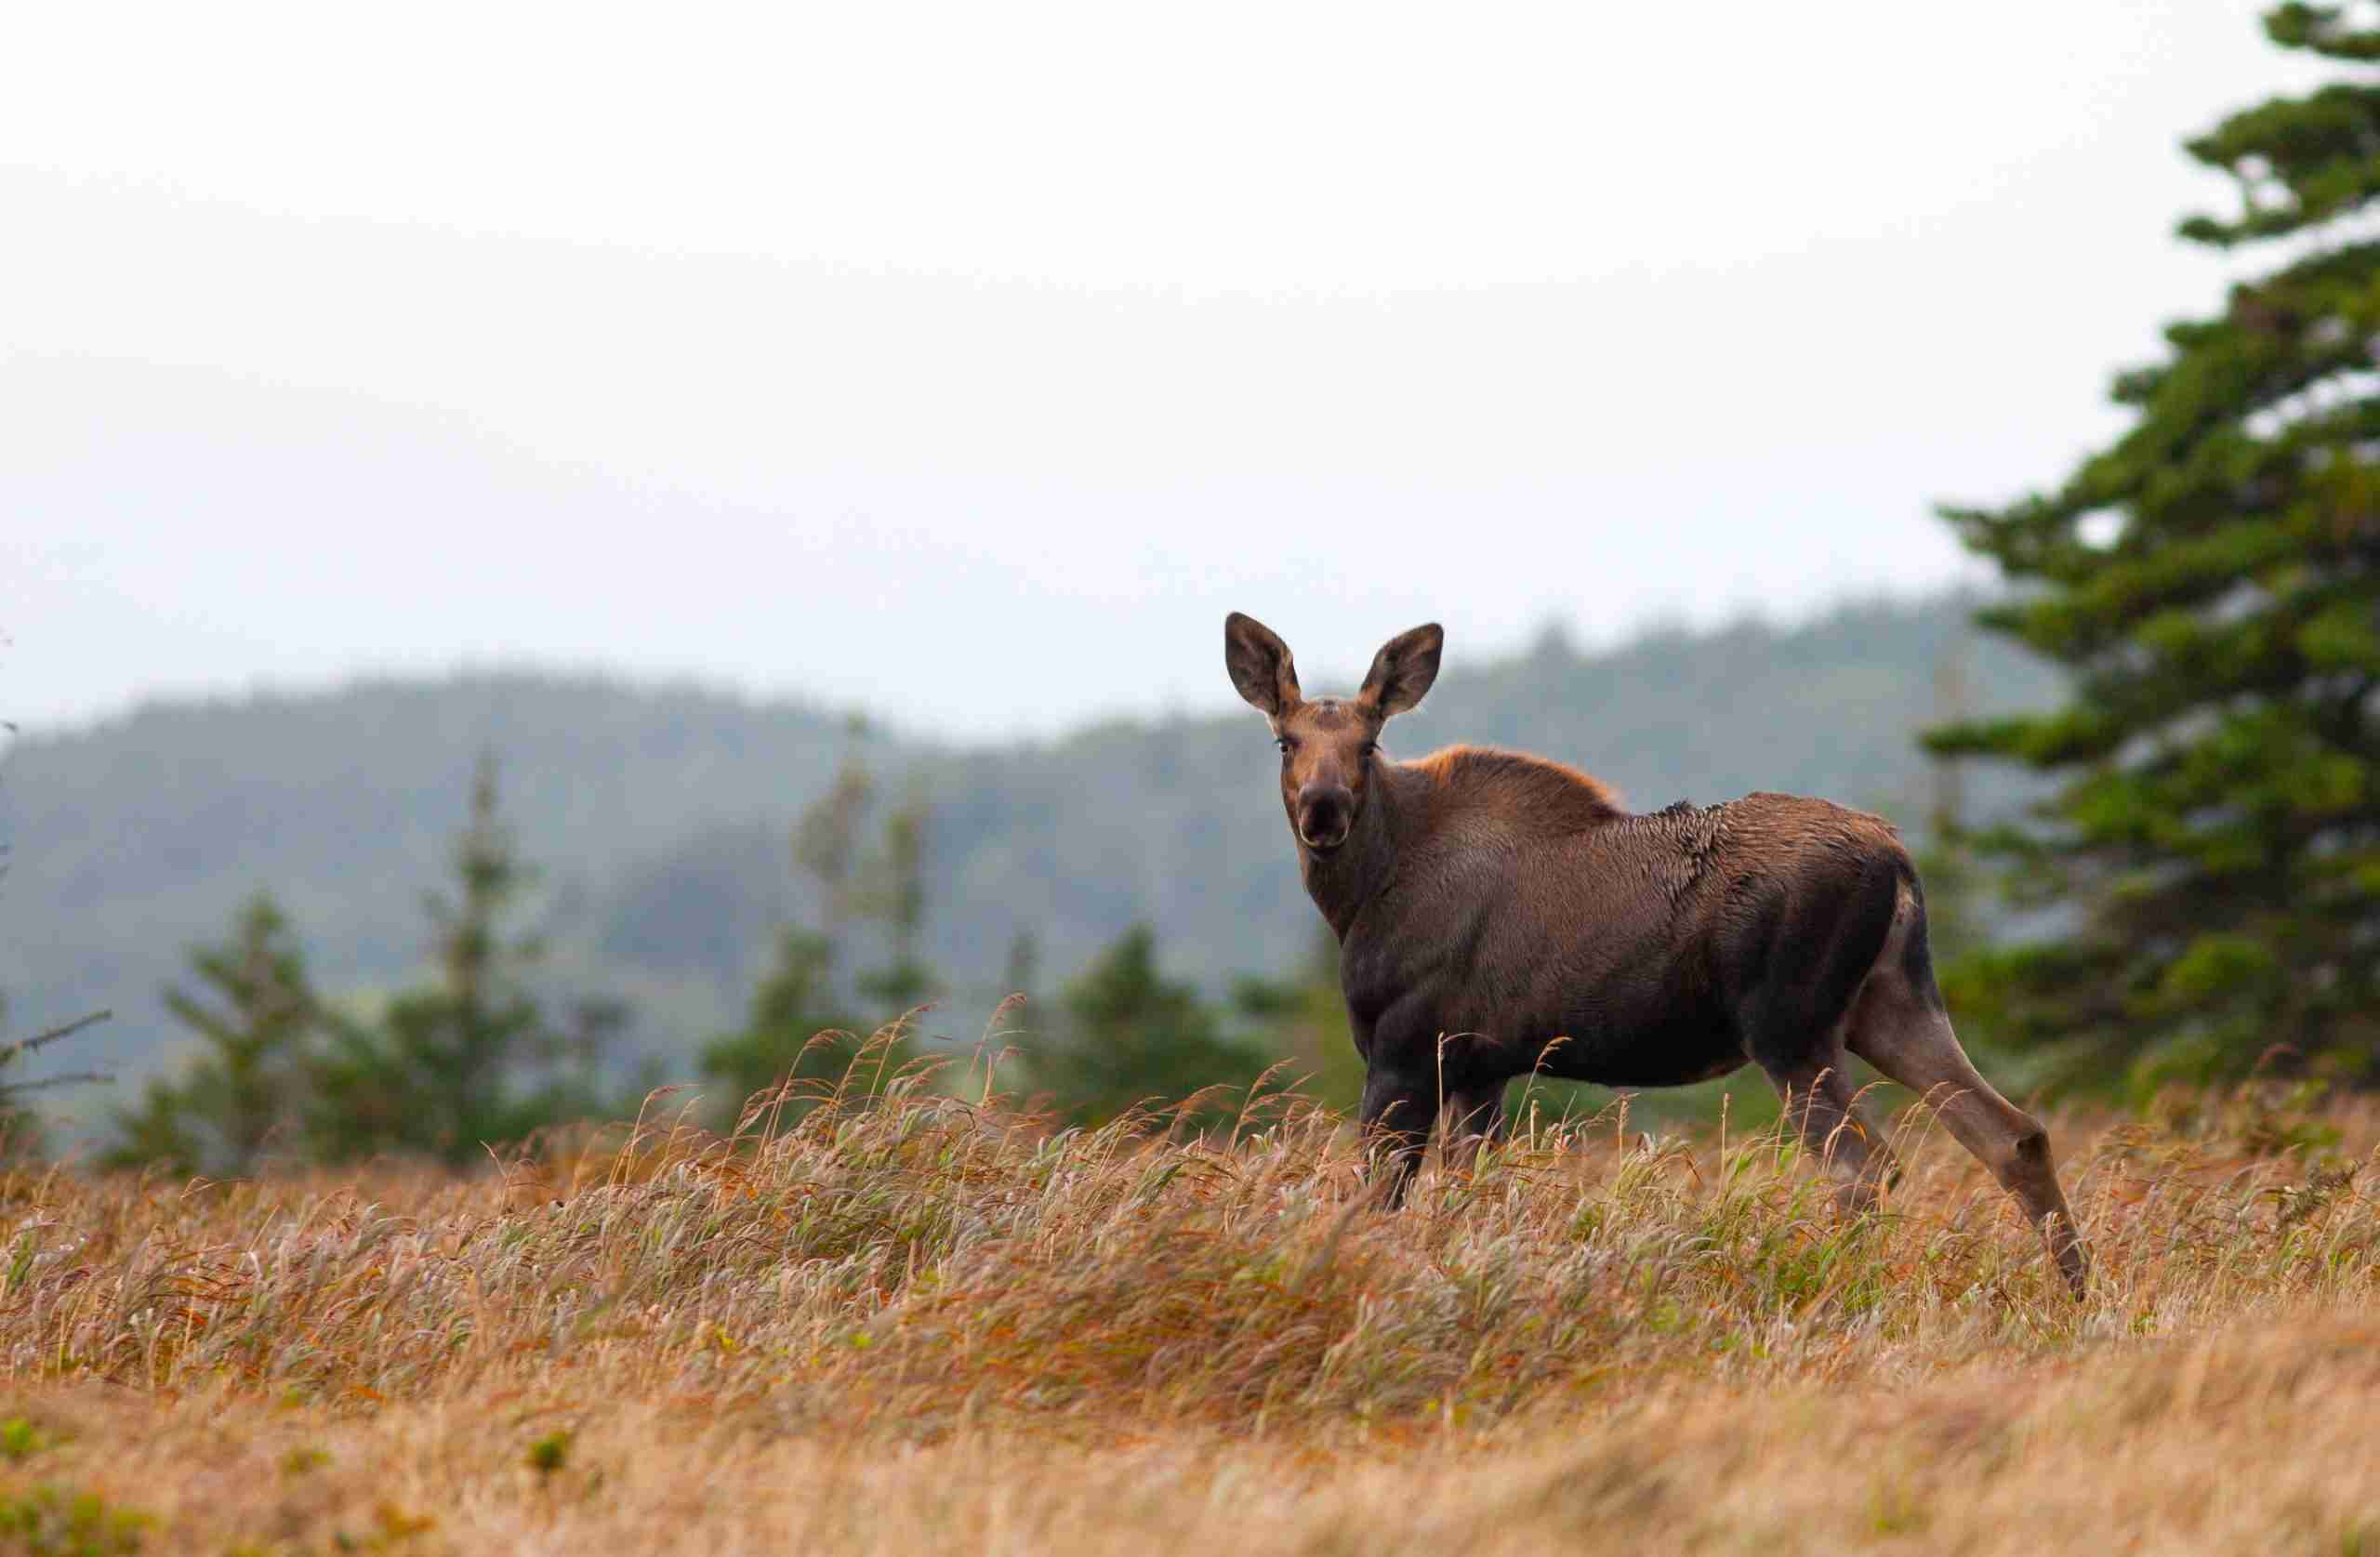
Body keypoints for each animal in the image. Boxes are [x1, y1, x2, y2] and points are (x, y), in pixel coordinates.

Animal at [1227, 614, 2084, 1295]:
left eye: (1369, 743)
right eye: (1285, 739)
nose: (1323, 808)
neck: (1364, 893)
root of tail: (1899, 860)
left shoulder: (1405, 1047)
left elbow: (1377, 1199)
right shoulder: (1480, 1065)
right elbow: (1473, 1194)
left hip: (1789, 1023)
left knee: (1862, 1166)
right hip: (1892, 1002)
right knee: (2012, 1133)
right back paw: (2076, 1297)